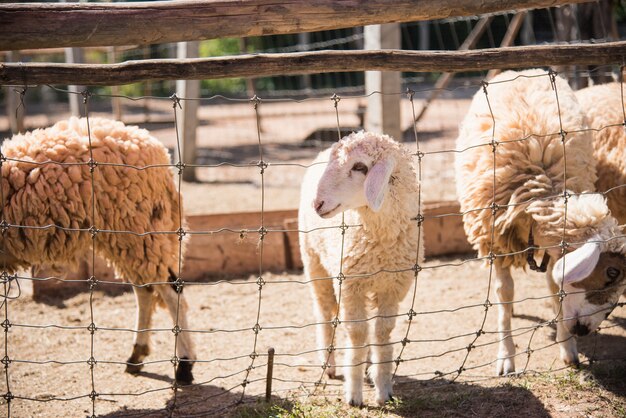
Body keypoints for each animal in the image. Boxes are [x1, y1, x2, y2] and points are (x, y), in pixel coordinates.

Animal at [298, 131, 420, 404]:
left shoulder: (392, 287)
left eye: (360, 167)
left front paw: (383, 388)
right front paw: (353, 393)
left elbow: (382, 333)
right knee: (324, 312)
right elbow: (357, 333)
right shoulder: (349, 285)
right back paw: (330, 364)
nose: (317, 203)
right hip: (315, 263)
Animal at [454, 69, 624, 376]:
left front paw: (568, 349)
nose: (584, 331)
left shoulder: (555, 253)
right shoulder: (494, 240)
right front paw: (506, 356)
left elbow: (556, 289)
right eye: (612, 272)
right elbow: (504, 292)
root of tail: (519, 71)